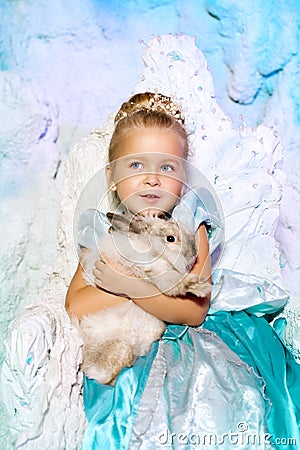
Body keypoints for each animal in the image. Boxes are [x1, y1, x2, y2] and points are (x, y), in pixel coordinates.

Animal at [77, 213, 211, 384]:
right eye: (170, 238)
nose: (194, 253)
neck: (151, 248)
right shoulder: (158, 273)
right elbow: (177, 282)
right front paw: (201, 287)